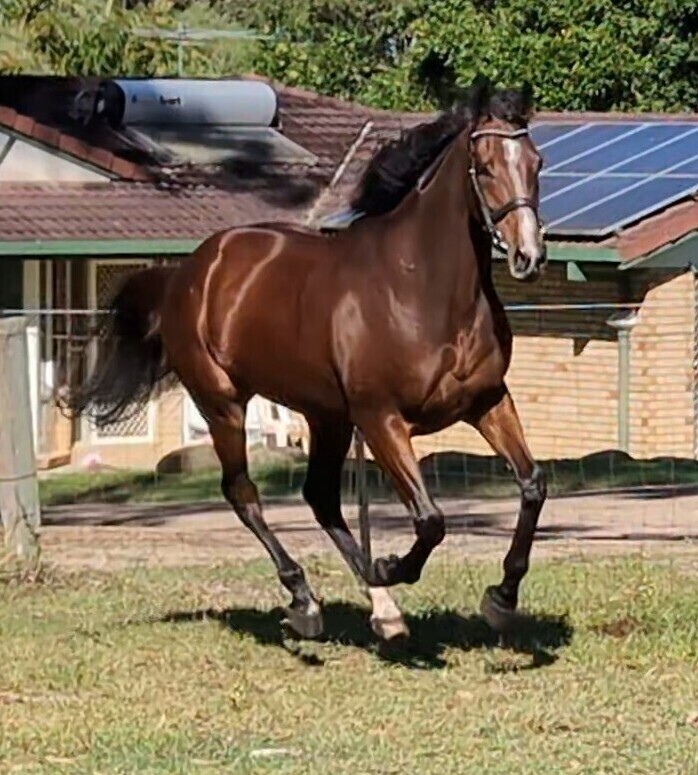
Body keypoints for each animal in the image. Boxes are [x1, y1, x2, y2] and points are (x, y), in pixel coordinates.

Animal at [69, 76, 548, 642]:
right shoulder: (381, 417)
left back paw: (382, 609)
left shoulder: (487, 401)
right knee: (243, 492)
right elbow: (430, 520)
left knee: (319, 496)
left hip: (325, 416)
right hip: (224, 405)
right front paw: (391, 566)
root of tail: (187, 274)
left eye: (537, 163)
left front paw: (501, 597)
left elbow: (532, 485)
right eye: (487, 166)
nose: (529, 256)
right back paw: (306, 600)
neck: (421, 289)